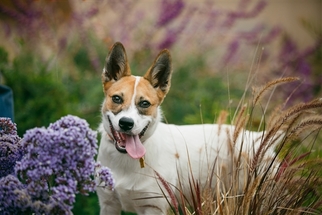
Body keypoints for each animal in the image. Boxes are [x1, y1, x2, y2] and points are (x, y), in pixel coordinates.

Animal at [96, 42, 280, 215]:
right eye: (117, 99)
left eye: (144, 104)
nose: (126, 123)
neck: (125, 160)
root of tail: (258, 137)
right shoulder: (108, 204)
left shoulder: (154, 208)